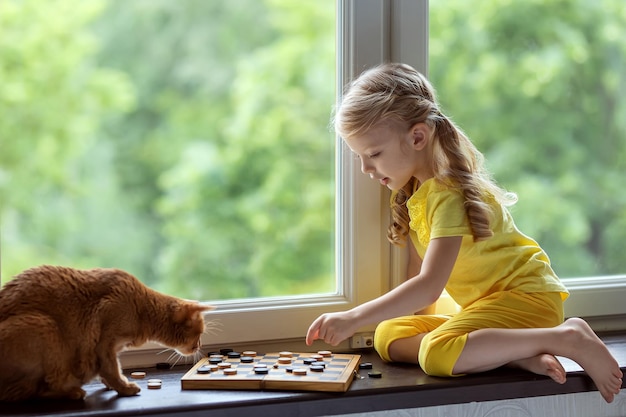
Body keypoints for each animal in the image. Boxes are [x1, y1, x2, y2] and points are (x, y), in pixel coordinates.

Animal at [0, 264, 212, 402]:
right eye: (199, 334)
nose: (200, 346)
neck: (141, 309)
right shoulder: (105, 344)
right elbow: (112, 369)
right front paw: (125, 388)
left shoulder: (107, 349)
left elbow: (108, 371)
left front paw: (112, 385)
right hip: (46, 326)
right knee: (36, 389)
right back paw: (73, 392)